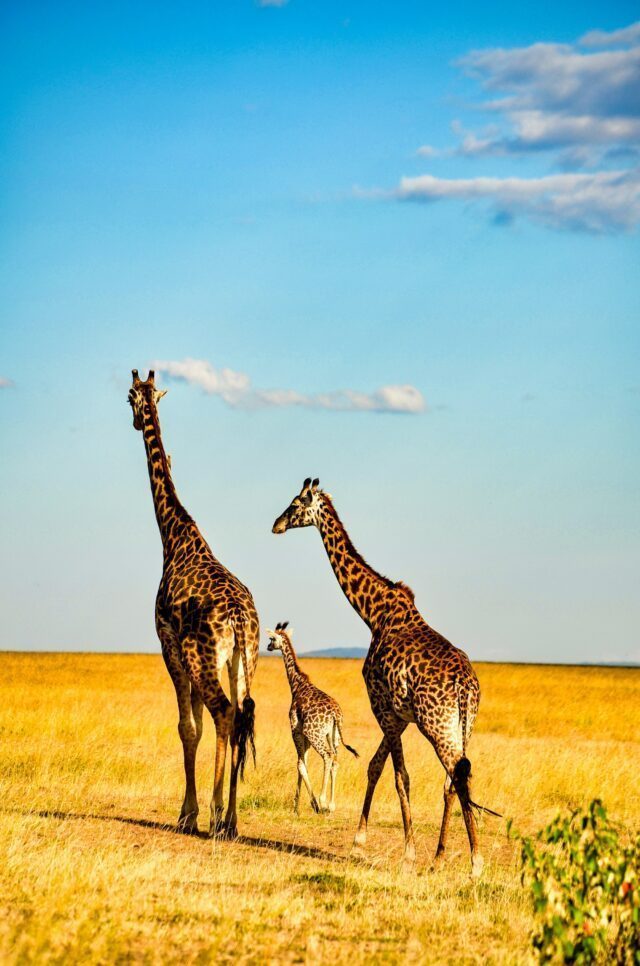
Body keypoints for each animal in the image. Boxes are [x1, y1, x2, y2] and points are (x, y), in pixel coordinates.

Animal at [127, 369, 259, 838]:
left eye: (129, 397)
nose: (135, 420)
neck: (174, 535)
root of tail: (239, 621)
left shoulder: (168, 644)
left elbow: (188, 727)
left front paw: (188, 813)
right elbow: (198, 726)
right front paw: (195, 810)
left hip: (201, 658)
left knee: (225, 714)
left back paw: (219, 815)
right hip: (243, 662)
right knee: (241, 716)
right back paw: (233, 819)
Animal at [266, 621, 359, 815]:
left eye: (271, 638)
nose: (268, 647)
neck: (297, 684)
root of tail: (335, 715)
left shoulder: (296, 729)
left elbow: (300, 765)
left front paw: (311, 803)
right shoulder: (304, 735)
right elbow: (305, 763)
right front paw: (297, 805)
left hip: (315, 734)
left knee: (328, 756)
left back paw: (323, 801)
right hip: (333, 736)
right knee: (335, 761)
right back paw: (331, 805)